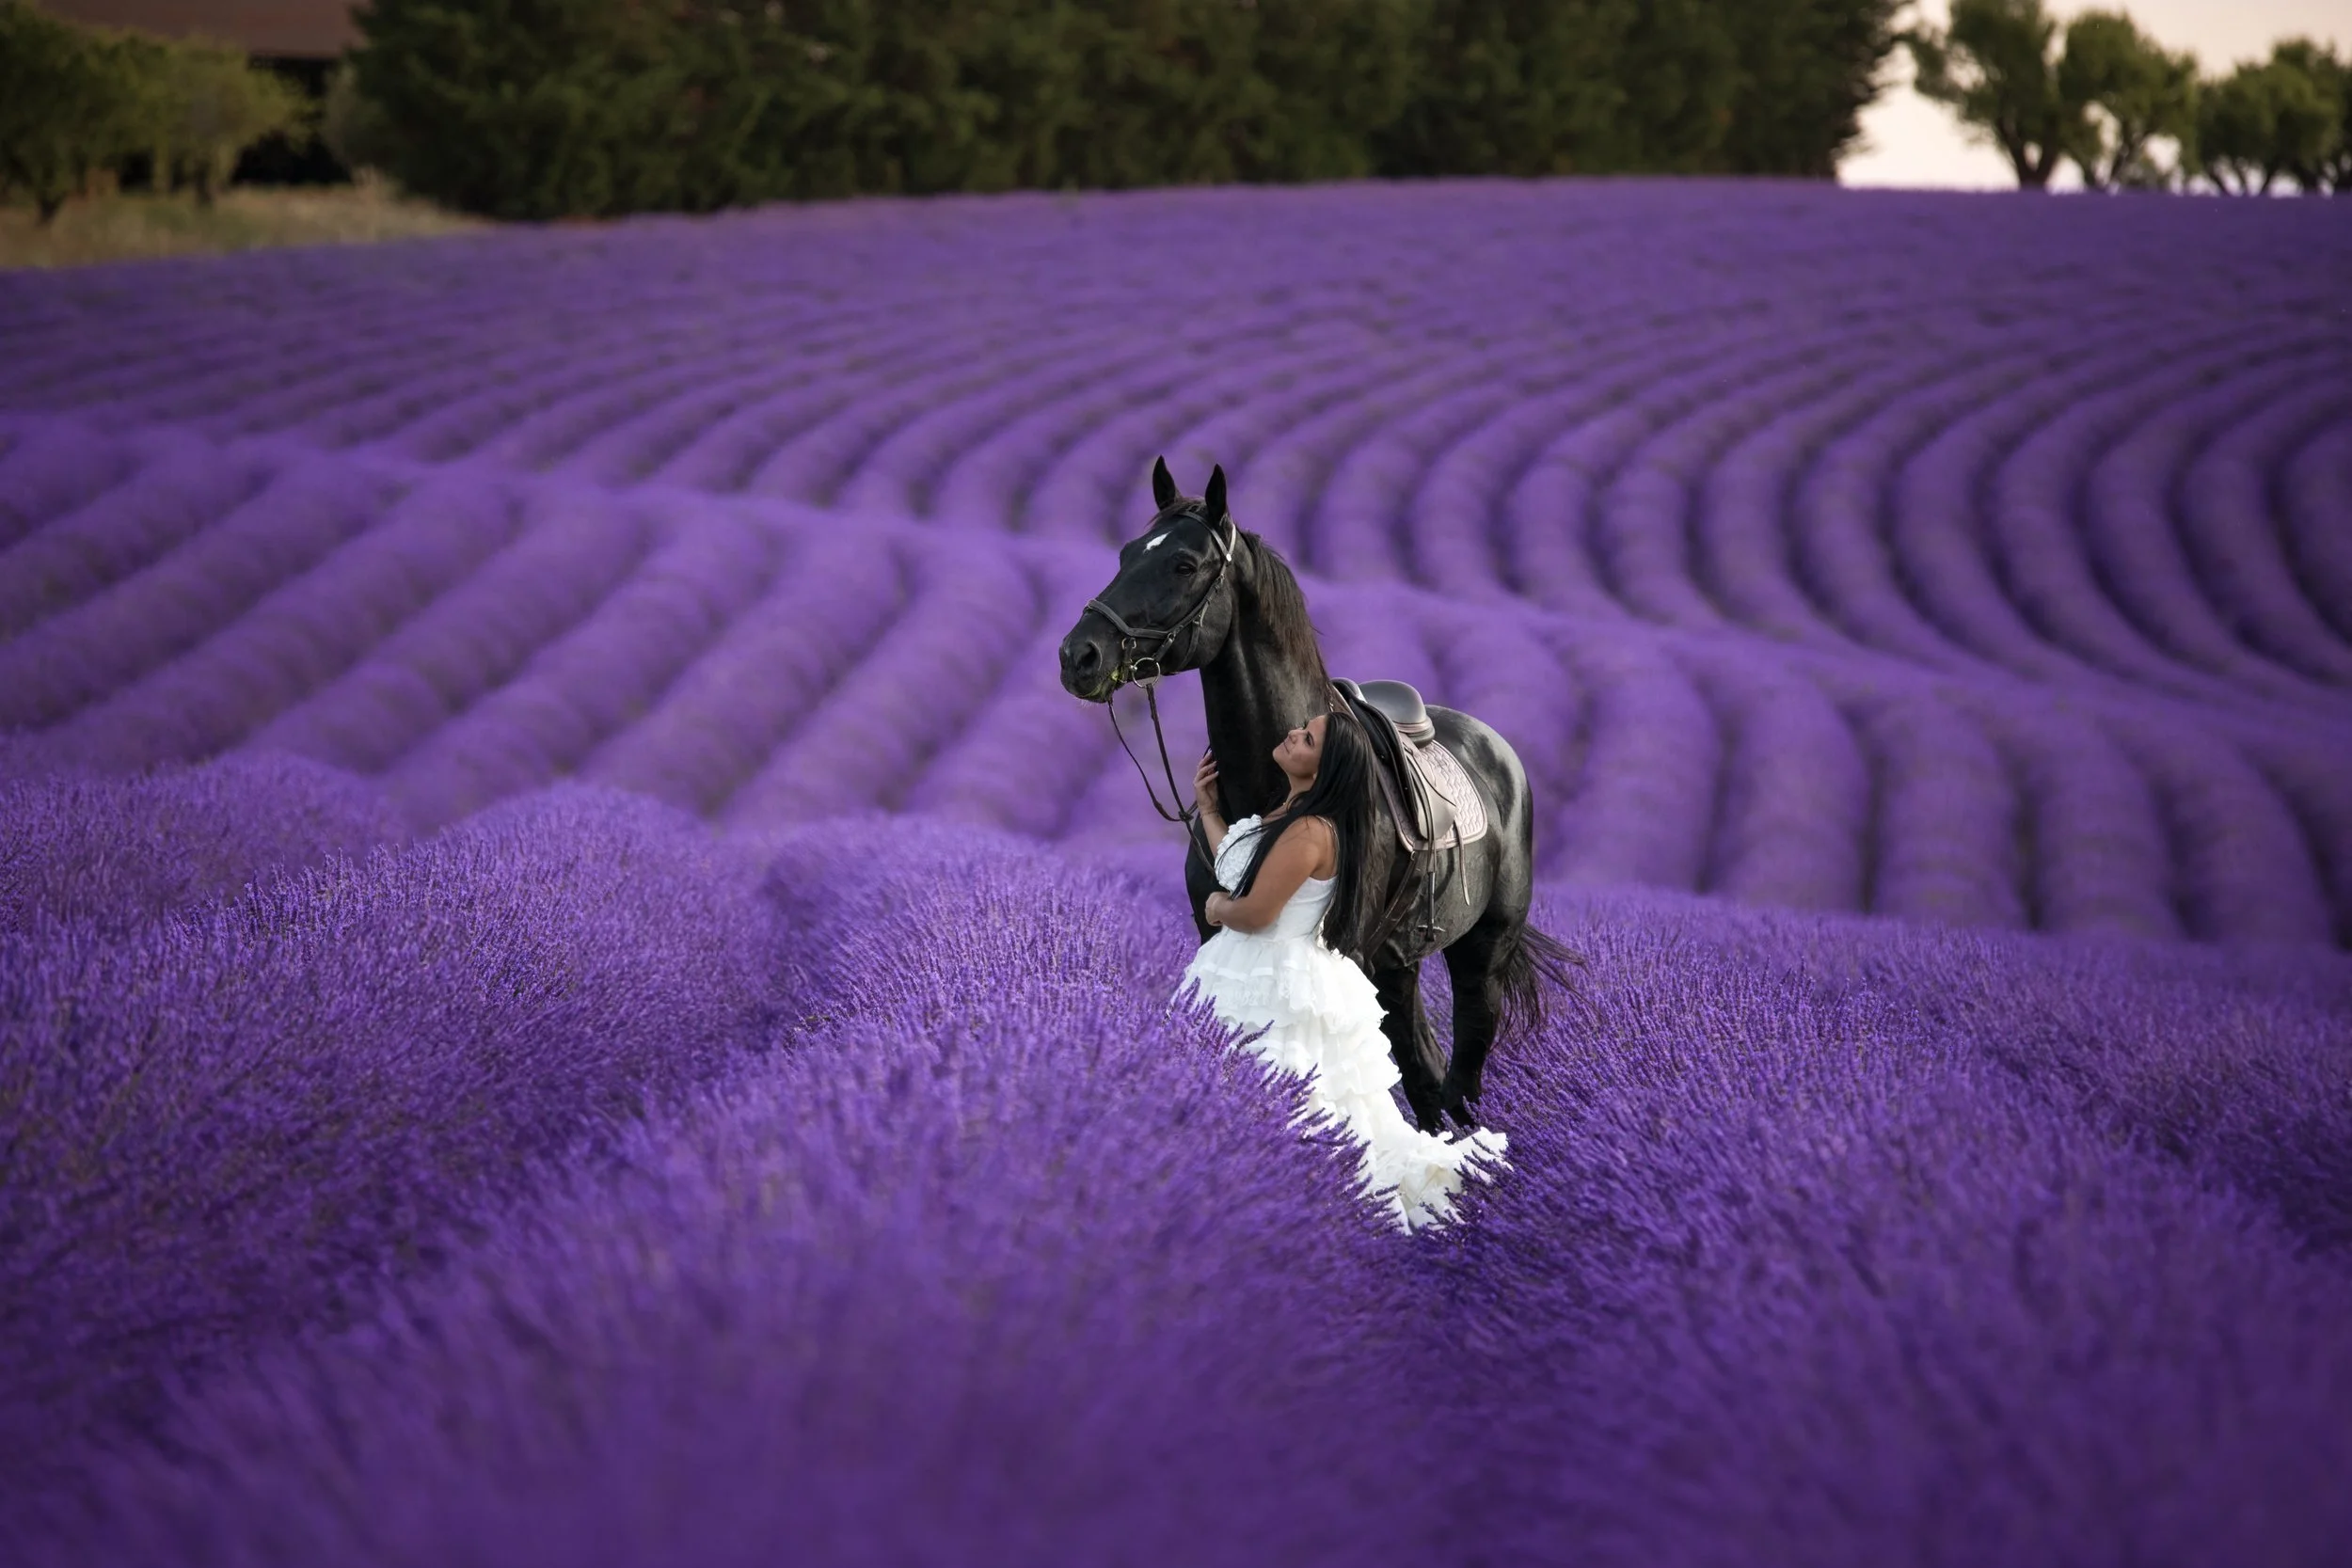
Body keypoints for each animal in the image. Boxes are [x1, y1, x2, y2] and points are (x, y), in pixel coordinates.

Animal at [1058, 457, 1578, 1133]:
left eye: (1184, 564)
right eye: (1124, 554)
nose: (1079, 655)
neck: (1270, 783)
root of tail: (1499, 751)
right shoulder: (1218, 932)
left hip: (1480, 954)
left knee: (1459, 1076)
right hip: (1401, 966)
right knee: (1425, 1071)